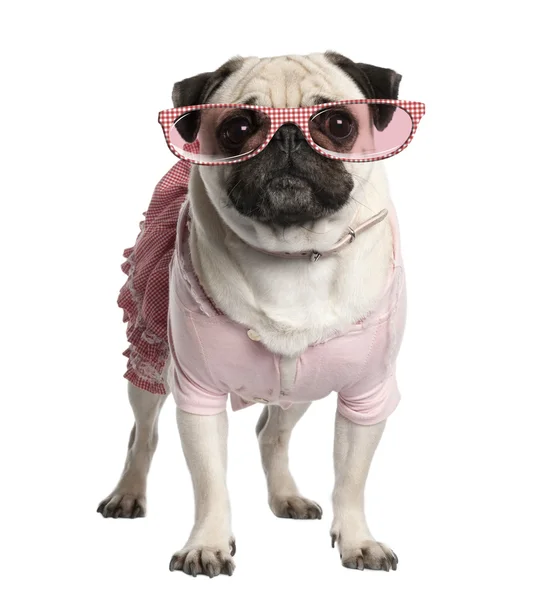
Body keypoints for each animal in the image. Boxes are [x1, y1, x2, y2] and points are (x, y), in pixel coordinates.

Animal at [97, 51, 416, 576]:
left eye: (338, 124)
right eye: (239, 127)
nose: (287, 137)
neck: (294, 255)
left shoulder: (366, 396)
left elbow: (351, 478)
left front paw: (357, 539)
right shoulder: (197, 393)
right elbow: (209, 481)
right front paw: (207, 543)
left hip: (304, 385)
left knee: (272, 434)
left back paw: (286, 496)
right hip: (152, 361)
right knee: (142, 436)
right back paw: (127, 492)